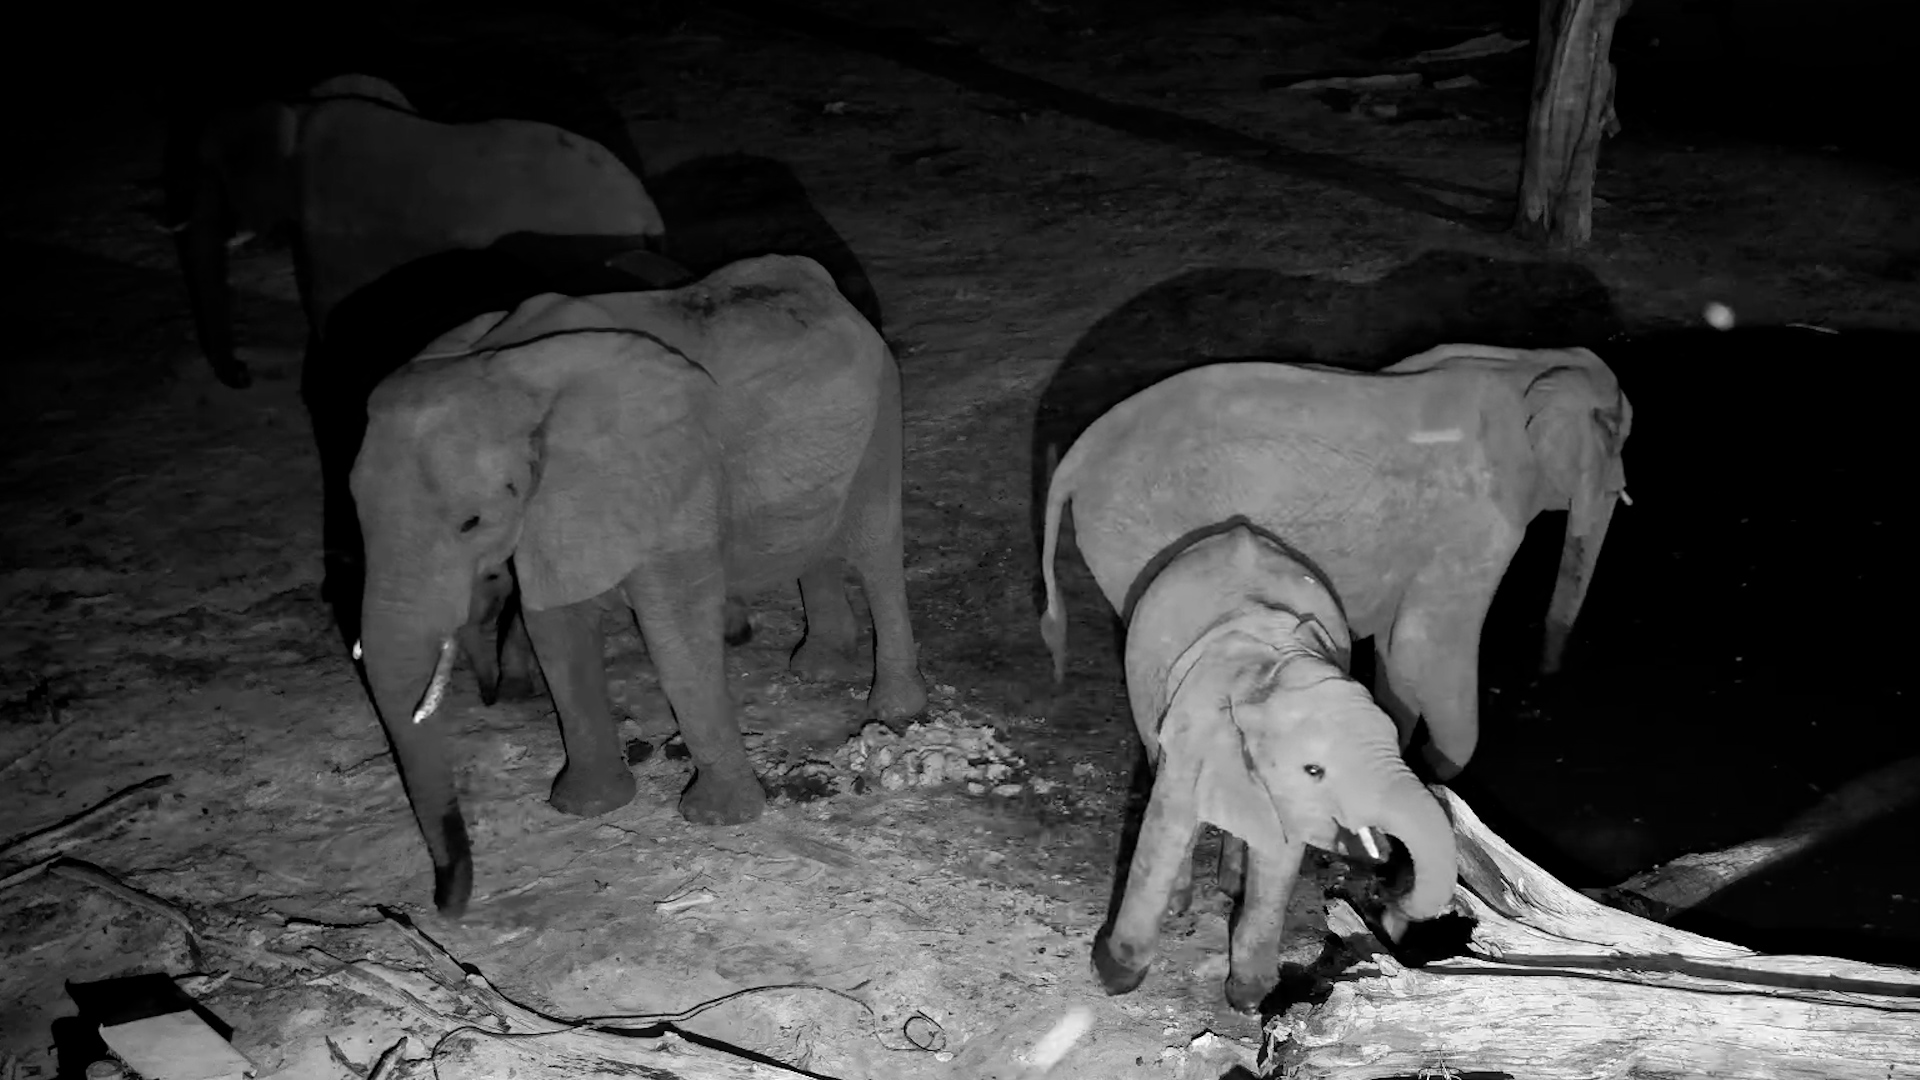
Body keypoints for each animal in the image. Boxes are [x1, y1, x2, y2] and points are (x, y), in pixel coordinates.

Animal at [350, 254, 927, 916]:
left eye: (471, 522)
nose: (441, 906)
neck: (506, 373)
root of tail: (827, 285)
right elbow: (557, 630)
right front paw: (584, 806)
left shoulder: (669, 477)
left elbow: (674, 628)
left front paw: (717, 818)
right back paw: (814, 669)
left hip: (883, 407)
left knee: (875, 547)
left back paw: (891, 709)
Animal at [1040, 344, 1633, 780]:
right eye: (1617, 454)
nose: (1544, 682)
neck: (1526, 365)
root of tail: (1074, 458)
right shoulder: (1478, 521)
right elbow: (1423, 650)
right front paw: (1433, 780)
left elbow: (1398, 650)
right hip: (1134, 532)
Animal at [1094, 522, 1457, 1011]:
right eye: (1314, 771)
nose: (1388, 900)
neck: (1273, 669)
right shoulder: (1190, 724)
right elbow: (1166, 825)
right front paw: (1115, 977)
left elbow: (1280, 851)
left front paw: (1251, 1000)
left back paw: (1233, 887)